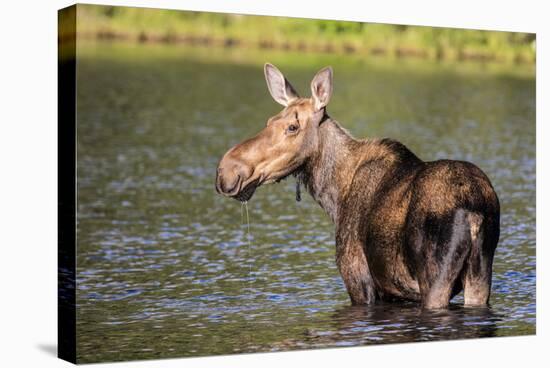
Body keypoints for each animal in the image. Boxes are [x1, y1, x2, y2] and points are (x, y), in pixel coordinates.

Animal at [216, 63, 500, 308]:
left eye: (293, 127)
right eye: (269, 121)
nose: (226, 170)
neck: (334, 196)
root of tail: (475, 212)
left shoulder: (358, 279)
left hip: (435, 280)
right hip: (480, 277)